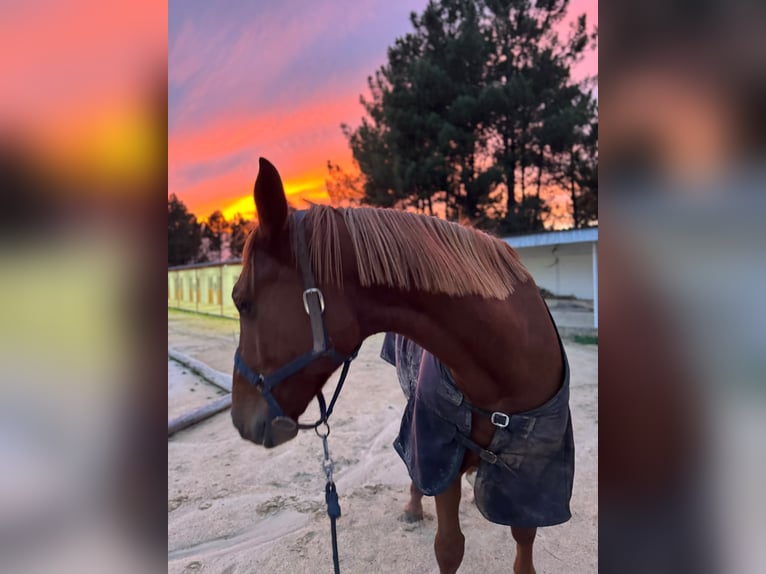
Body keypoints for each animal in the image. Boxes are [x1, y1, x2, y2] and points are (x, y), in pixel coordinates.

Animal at [231, 158, 574, 574]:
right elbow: (449, 545)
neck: (504, 371)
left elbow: (523, 537)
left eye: (241, 301)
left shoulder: (532, 480)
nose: (239, 419)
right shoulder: (438, 454)